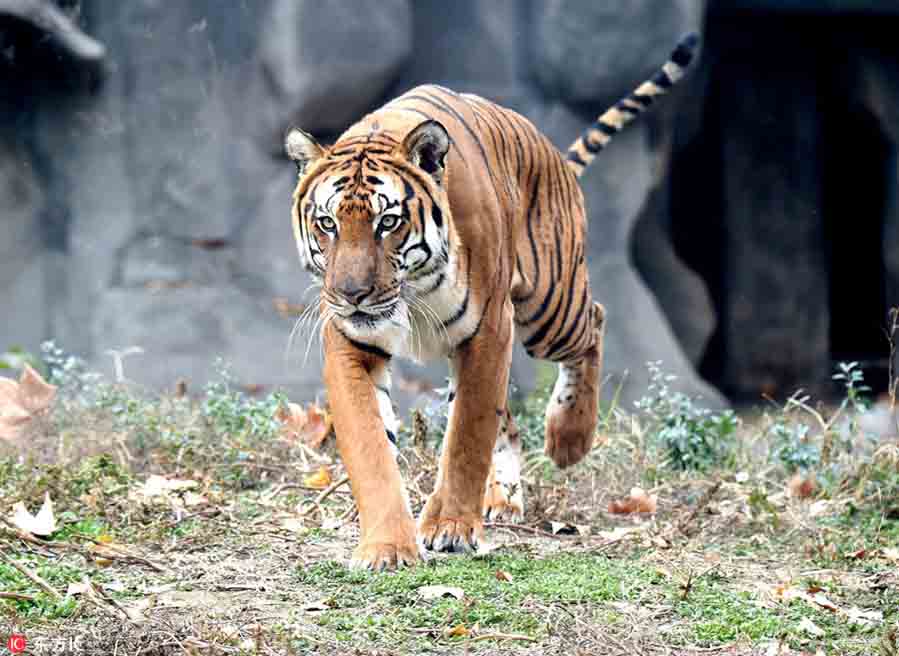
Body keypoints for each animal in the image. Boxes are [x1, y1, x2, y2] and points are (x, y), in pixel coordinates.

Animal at [284, 34, 700, 568]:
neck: (410, 293)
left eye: (387, 222)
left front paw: (451, 528)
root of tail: (551, 152)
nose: (352, 294)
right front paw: (387, 546)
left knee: (595, 320)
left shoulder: (487, 330)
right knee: (511, 424)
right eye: (328, 223)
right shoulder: (352, 342)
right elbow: (370, 445)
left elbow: (467, 436)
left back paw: (568, 438)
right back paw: (503, 499)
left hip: (550, 308)